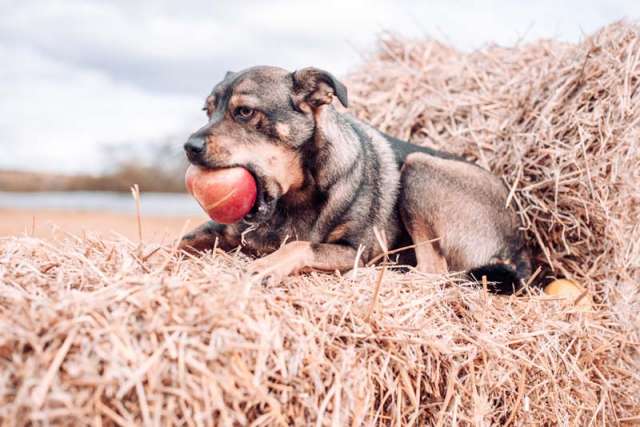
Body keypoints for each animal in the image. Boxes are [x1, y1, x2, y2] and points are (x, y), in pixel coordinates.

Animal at [178, 66, 532, 294]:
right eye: (207, 111)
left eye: (245, 112)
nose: (189, 148)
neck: (294, 197)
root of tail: (521, 240)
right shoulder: (220, 232)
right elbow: (178, 244)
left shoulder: (355, 249)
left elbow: (301, 245)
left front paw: (268, 265)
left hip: (420, 168)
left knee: (434, 272)